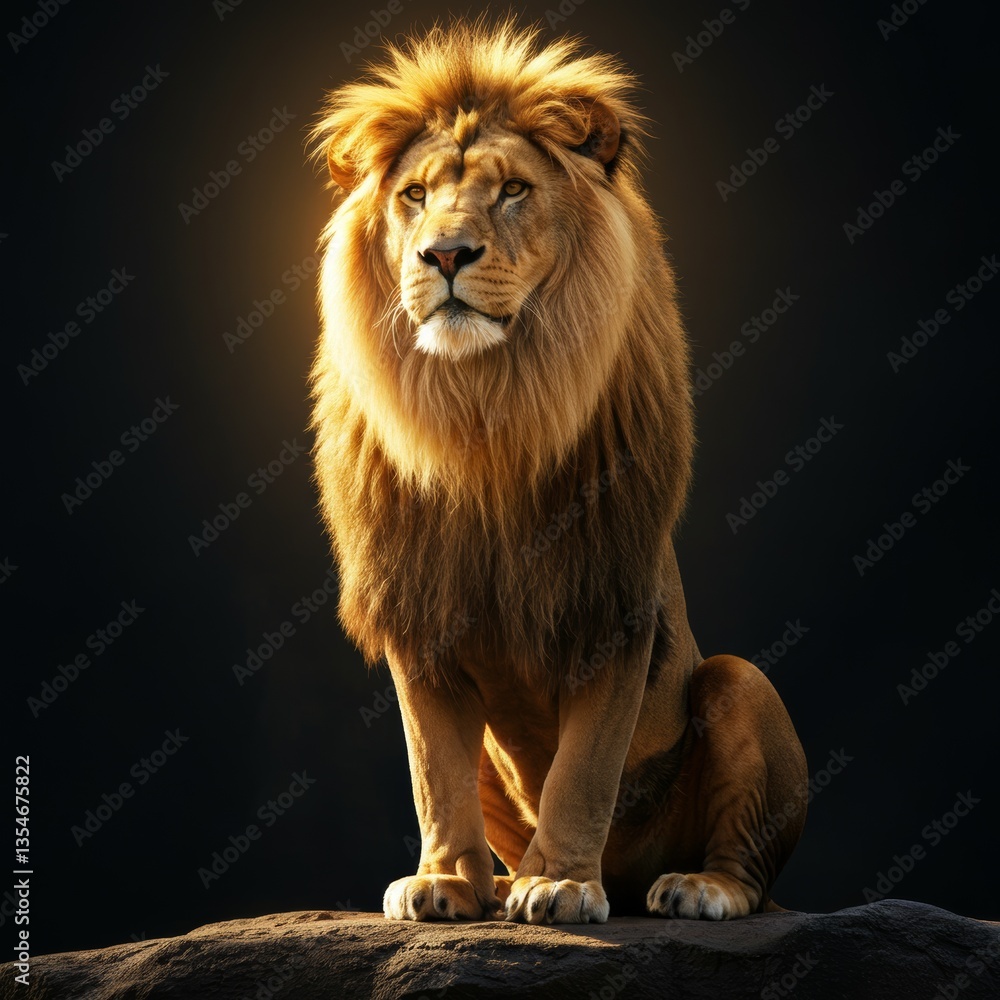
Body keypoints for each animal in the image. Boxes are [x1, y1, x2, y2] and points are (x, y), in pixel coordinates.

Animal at [309, 20, 808, 924]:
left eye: (512, 190)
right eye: (414, 196)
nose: (445, 254)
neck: (485, 414)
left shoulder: (612, 601)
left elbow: (583, 772)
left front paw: (564, 882)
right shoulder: (420, 616)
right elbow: (433, 771)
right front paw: (445, 880)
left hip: (739, 679)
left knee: (747, 869)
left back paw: (694, 887)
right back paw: (499, 879)